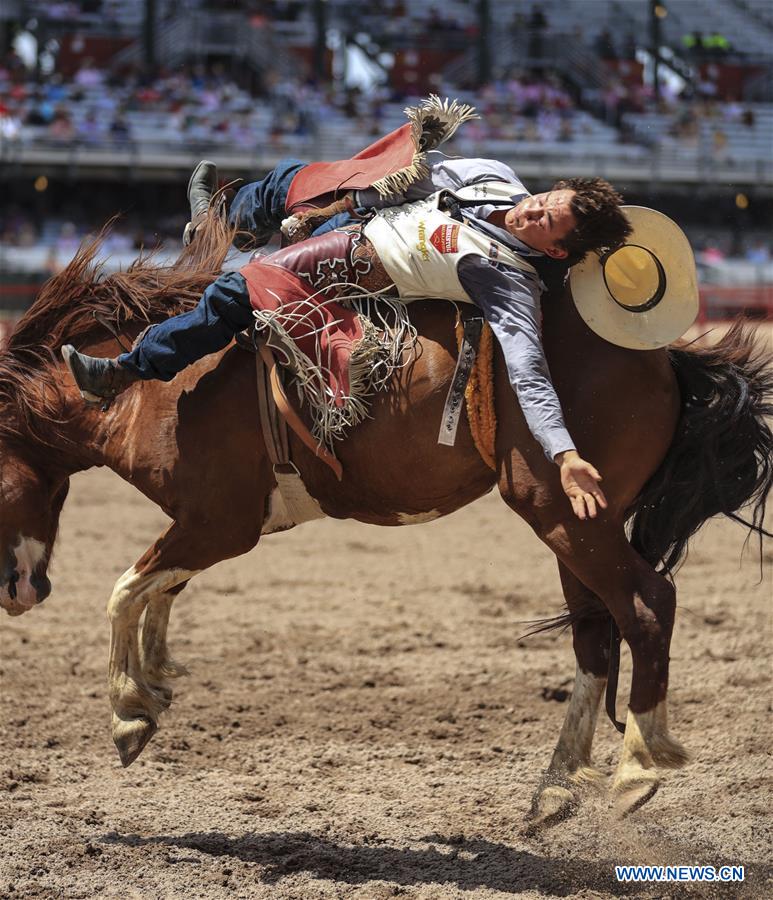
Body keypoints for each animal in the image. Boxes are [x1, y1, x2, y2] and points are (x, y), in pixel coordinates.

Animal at [0, 213, 768, 828]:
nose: (20, 592)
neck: (155, 389)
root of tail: (663, 361)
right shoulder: (202, 526)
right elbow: (158, 590)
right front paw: (156, 682)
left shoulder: (220, 522)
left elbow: (125, 589)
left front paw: (130, 711)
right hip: (574, 523)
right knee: (593, 638)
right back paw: (553, 790)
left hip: (563, 515)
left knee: (645, 604)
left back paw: (638, 765)